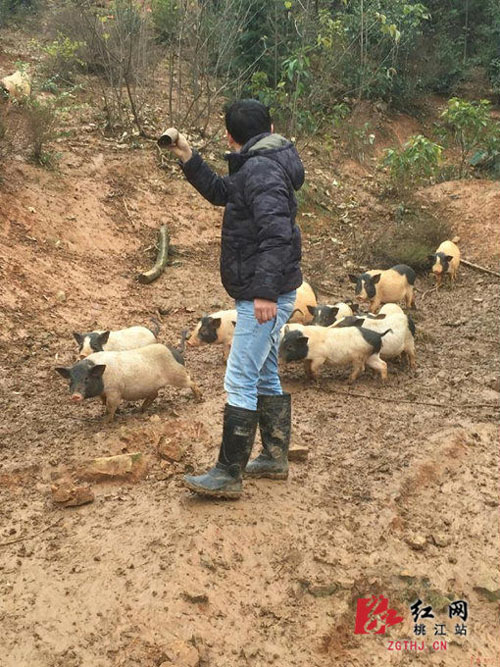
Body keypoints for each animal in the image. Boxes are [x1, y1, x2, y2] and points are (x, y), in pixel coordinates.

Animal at [56, 344, 201, 422]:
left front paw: (105, 422)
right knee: (154, 394)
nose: (75, 396)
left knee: (192, 381)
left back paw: (199, 399)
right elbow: (104, 403)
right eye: (71, 380)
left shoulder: (115, 391)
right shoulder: (104, 393)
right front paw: (116, 412)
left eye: (86, 378)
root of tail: (176, 352)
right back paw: (140, 410)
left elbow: (110, 407)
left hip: (178, 375)